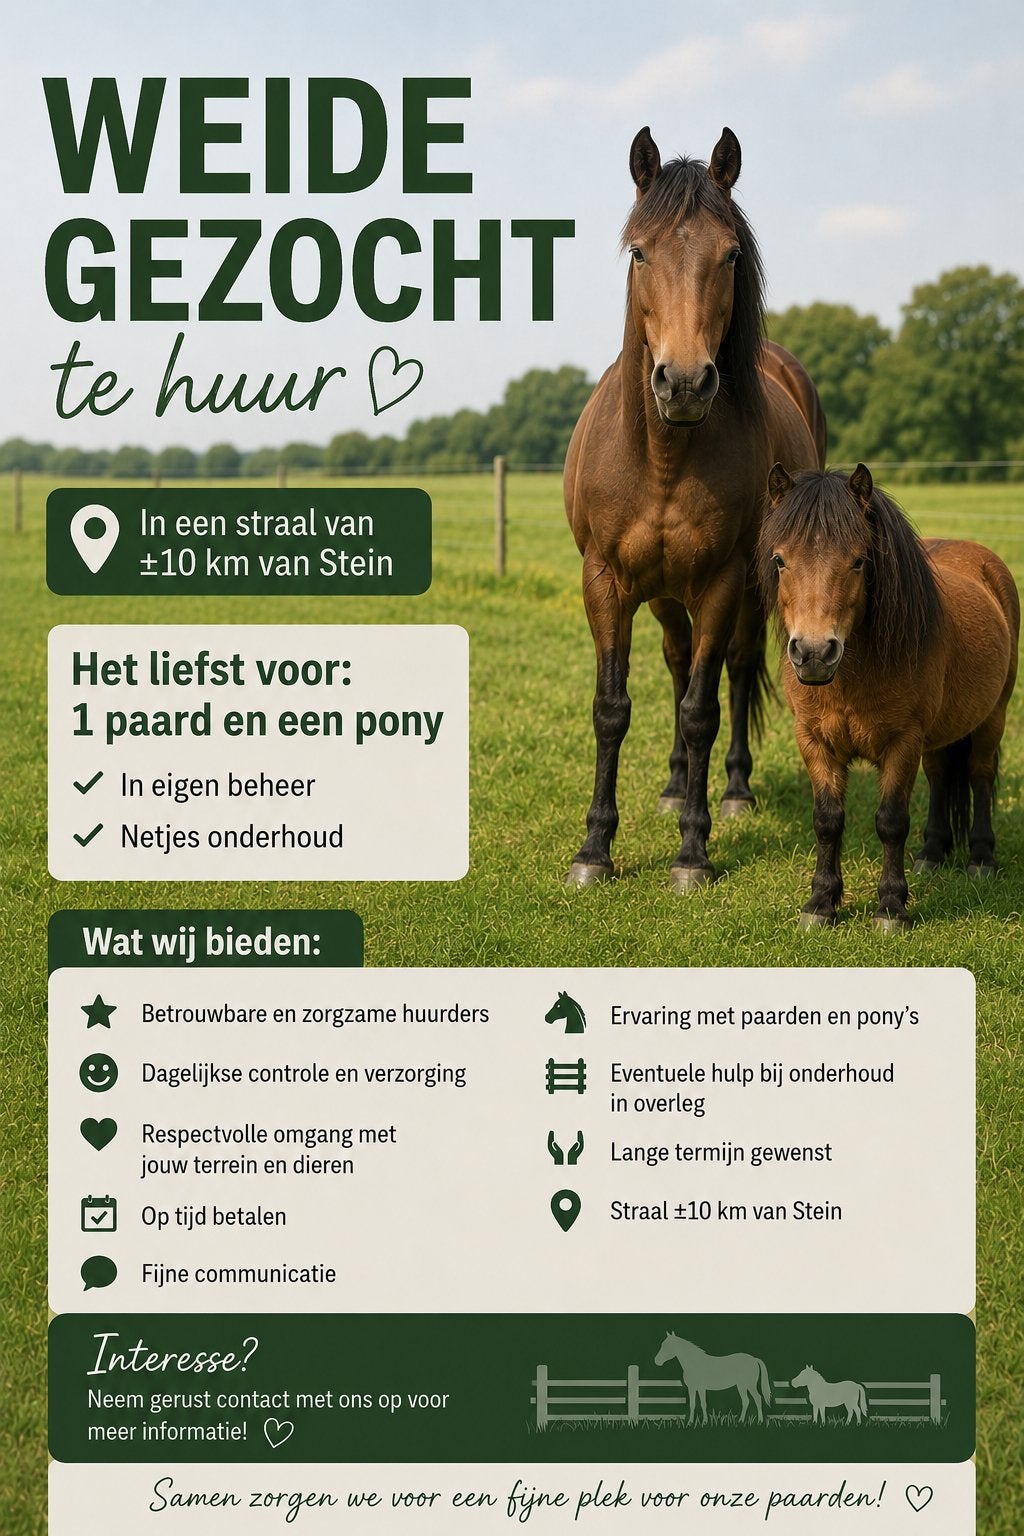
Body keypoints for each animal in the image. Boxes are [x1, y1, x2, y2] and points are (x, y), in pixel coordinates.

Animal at [564, 126, 825, 891]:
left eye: (731, 254)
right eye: (639, 251)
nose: (682, 382)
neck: (663, 456)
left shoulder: (719, 581)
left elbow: (704, 708)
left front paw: (693, 852)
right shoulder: (605, 582)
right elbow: (613, 708)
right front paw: (594, 849)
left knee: (731, 671)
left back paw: (732, 791)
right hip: (659, 593)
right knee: (678, 661)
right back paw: (677, 784)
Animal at [759, 464, 1020, 930]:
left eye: (859, 560)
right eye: (779, 560)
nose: (813, 653)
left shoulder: (903, 742)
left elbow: (892, 820)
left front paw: (892, 908)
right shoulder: (814, 741)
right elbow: (827, 820)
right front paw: (821, 903)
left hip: (993, 717)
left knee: (980, 775)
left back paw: (981, 859)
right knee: (940, 776)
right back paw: (931, 854)